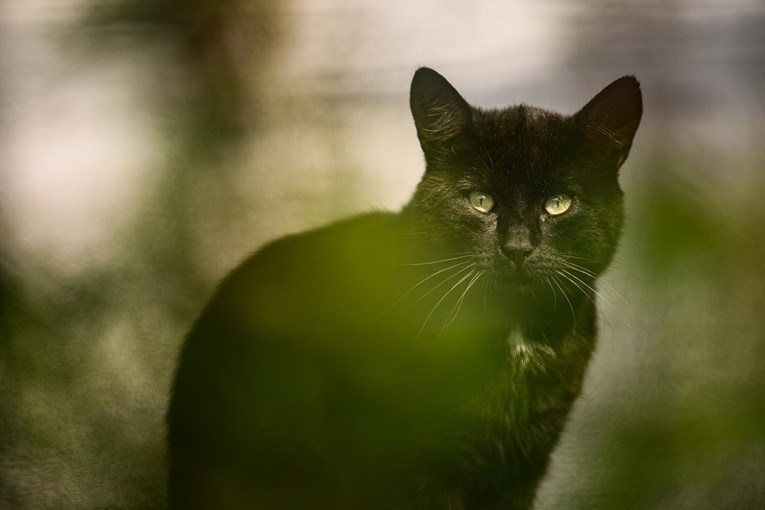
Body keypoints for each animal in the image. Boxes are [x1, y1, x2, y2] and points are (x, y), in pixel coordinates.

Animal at [166, 68, 640, 510]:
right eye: (481, 201)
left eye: (558, 203)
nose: (518, 247)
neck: (512, 337)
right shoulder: (411, 465)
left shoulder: (520, 470)